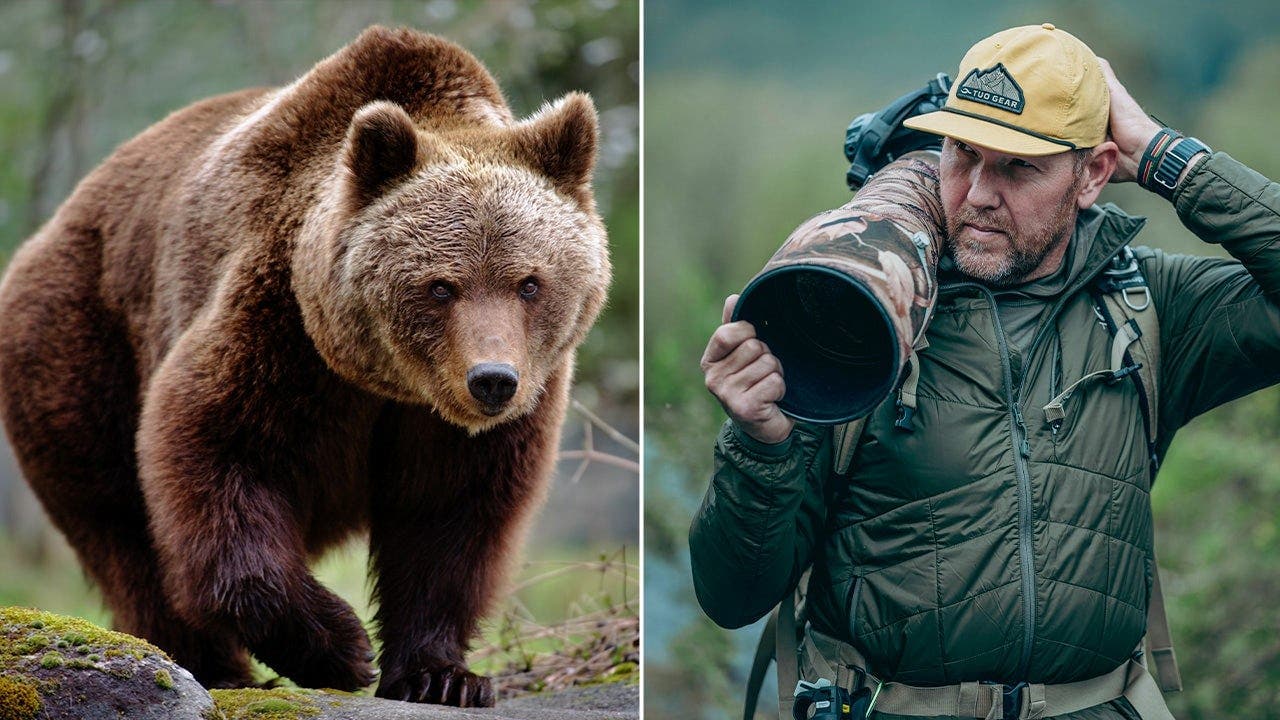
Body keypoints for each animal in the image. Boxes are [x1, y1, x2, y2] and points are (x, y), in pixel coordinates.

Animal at [0, 26, 610, 707]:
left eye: (529, 282)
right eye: (440, 286)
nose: (493, 381)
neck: (387, 382)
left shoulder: (480, 416)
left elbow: (450, 517)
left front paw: (441, 676)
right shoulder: (280, 332)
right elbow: (218, 455)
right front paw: (341, 649)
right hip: (80, 343)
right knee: (120, 524)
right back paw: (208, 664)